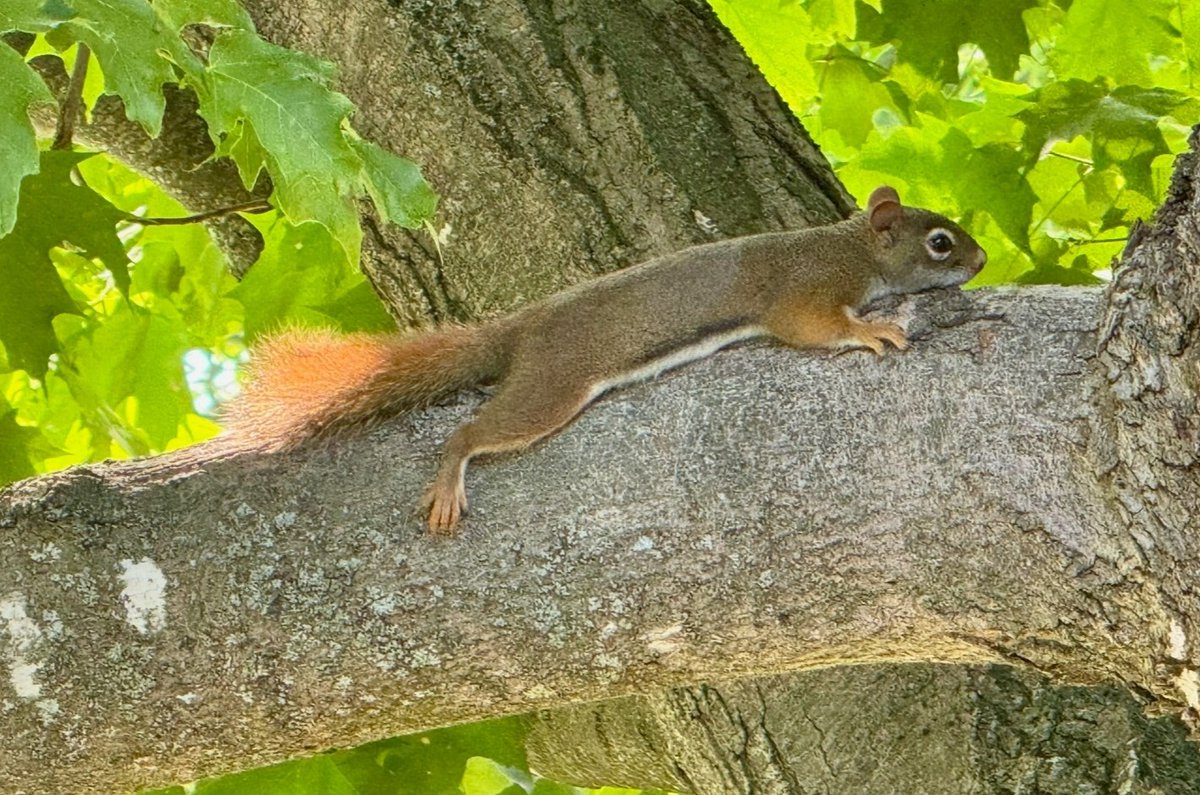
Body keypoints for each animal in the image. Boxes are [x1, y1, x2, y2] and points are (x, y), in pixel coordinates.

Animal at [224, 186, 986, 533]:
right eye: (941, 241)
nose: (979, 261)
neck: (849, 245)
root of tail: (523, 327)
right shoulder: (805, 290)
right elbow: (813, 327)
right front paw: (872, 332)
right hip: (553, 386)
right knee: (471, 432)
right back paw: (449, 480)